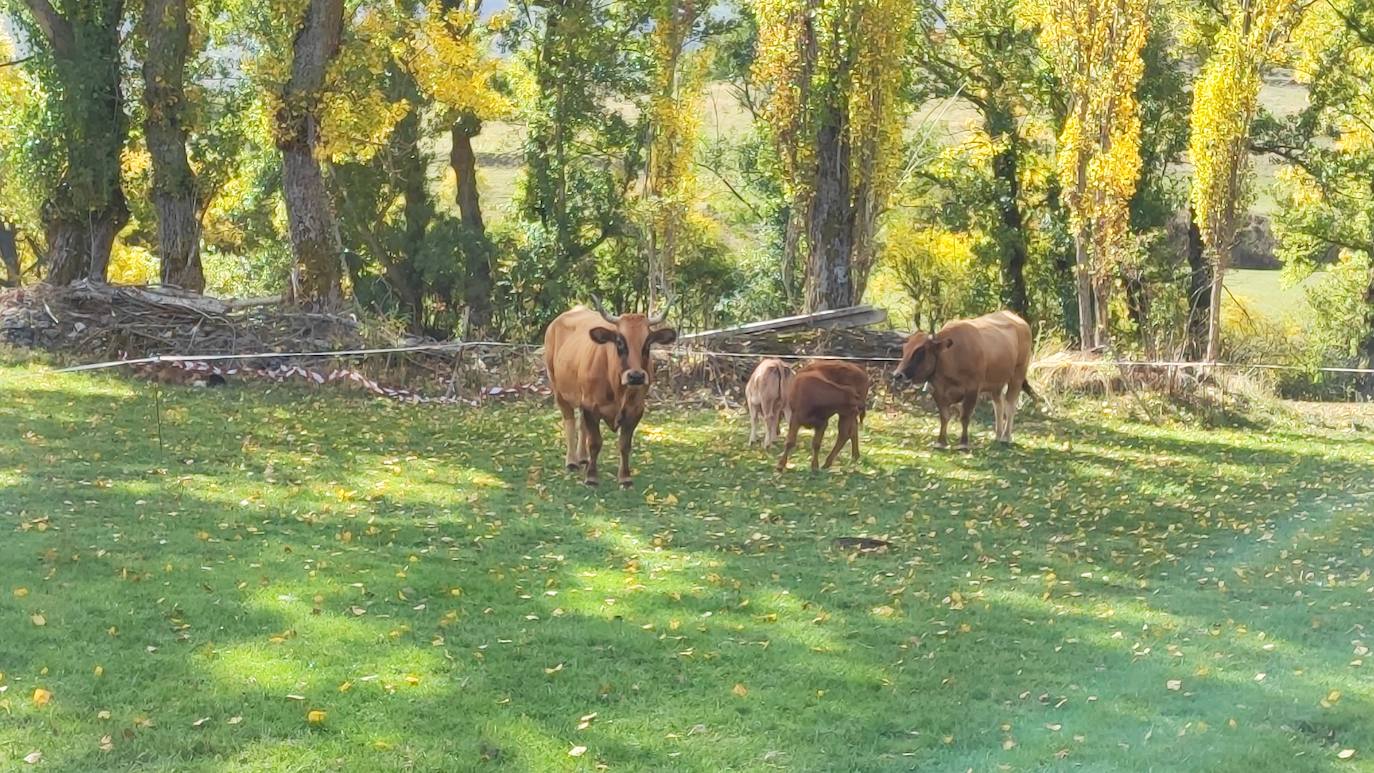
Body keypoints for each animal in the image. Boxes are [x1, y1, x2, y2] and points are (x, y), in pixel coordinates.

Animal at [544, 297, 678, 488]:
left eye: (647, 343)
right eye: (620, 342)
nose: (636, 376)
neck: (617, 389)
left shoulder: (636, 410)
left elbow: (624, 445)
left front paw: (625, 477)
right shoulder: (591, 406)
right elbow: (595, 442)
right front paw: (592, 477)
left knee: (581, 424)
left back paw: (583, 458)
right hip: (558, 390)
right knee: (569, 421)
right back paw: (571, 461)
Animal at [884, 311, 1033, 450]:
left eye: (920, 351)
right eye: (905, 349)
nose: (897, 375)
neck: (951, 357)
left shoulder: (972, 389)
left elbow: (965, 416)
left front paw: (963, 444)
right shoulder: (937, 390)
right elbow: (944, 416)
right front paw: (941, 442)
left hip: (1017, 375)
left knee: (1010, 404)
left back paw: (1006, 437)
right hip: (996, 382)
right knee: (999, 404)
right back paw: (997, 435)